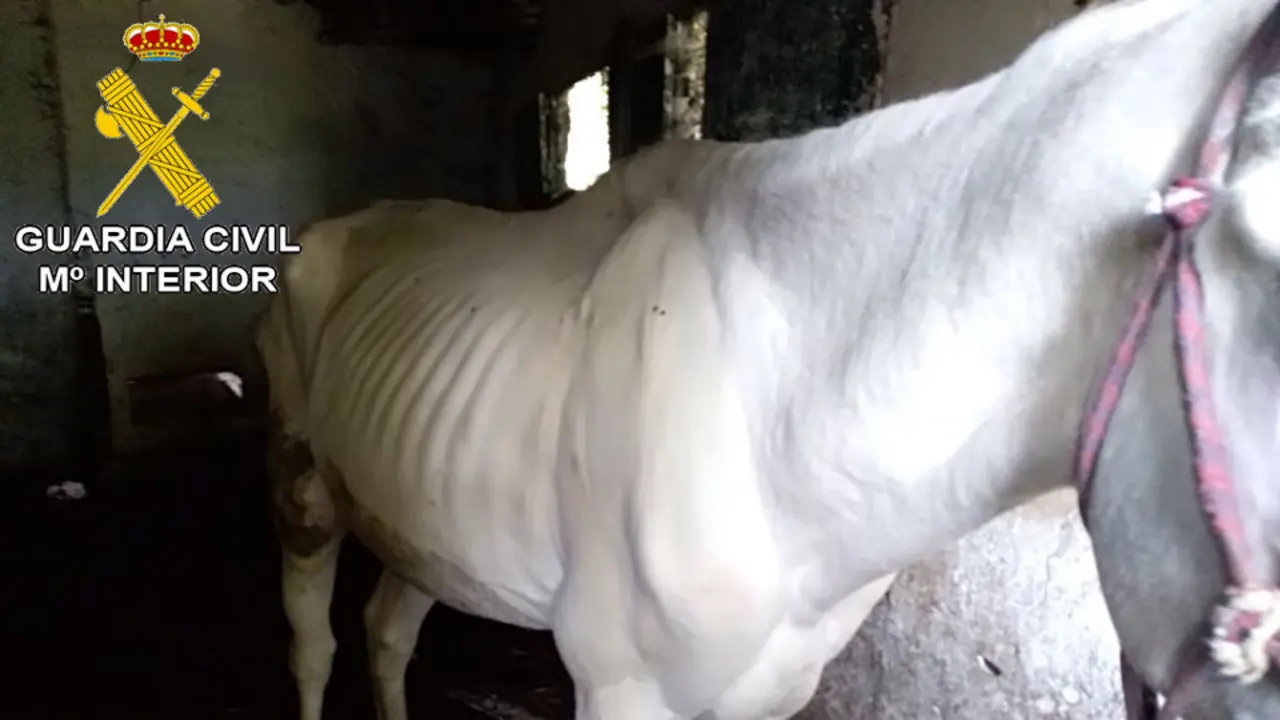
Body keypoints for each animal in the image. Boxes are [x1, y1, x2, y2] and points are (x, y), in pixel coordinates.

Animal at [254, 0, 1280, 717]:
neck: (770, 405)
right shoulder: (620, 689)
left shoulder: (779, 686)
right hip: (306, 495)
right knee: (314, 643)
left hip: (419, 521)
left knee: (387, 634)